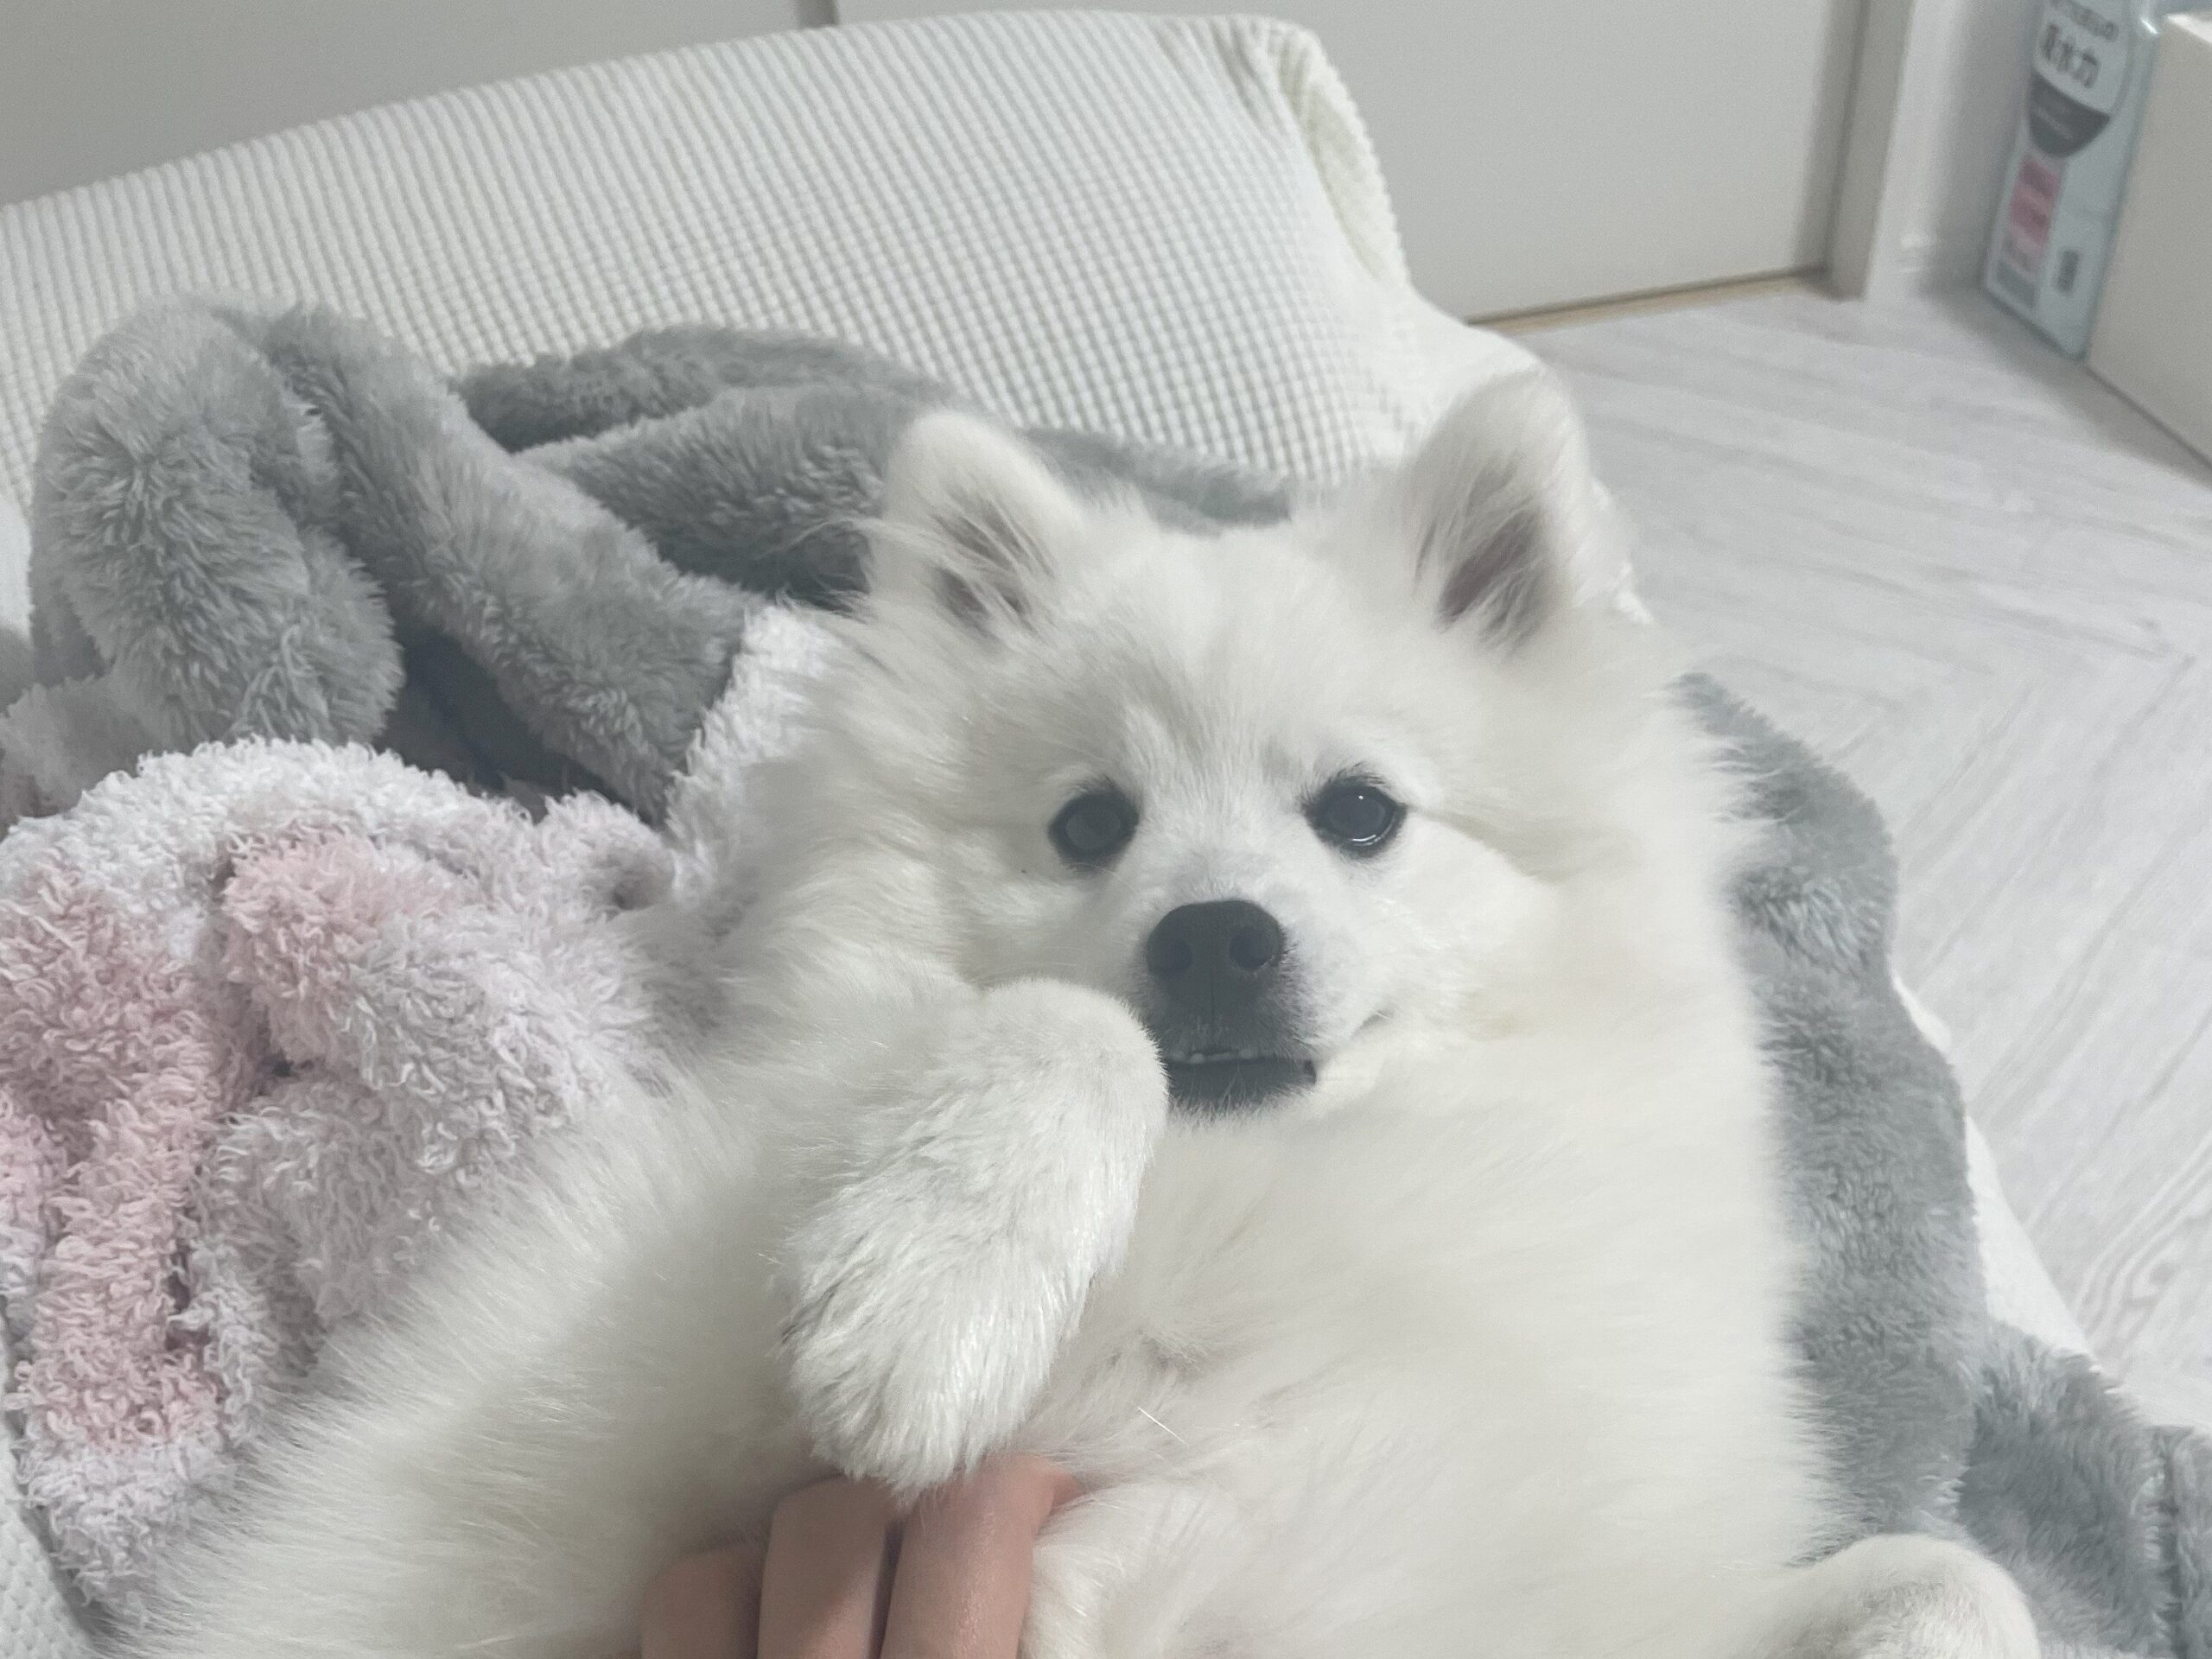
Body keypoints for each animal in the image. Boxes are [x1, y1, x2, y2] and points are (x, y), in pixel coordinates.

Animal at [125, 376, 2035, 1659]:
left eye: (1359, 812)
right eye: (1091, 823)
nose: (1215, 942)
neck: (1302, 1177)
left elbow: (1959, 1574)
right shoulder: (674, 1395)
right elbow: (1055, 1035)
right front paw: (922, 1310)